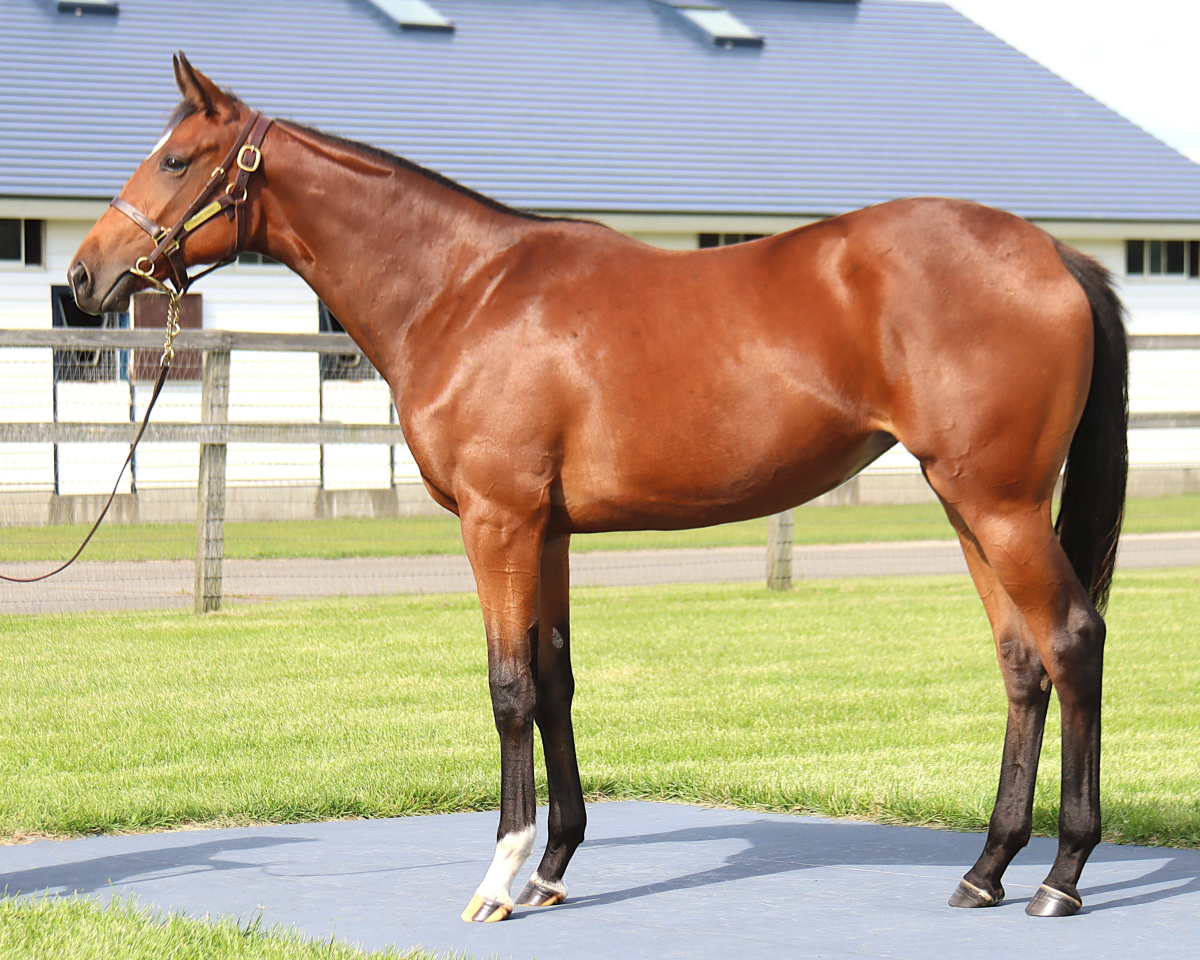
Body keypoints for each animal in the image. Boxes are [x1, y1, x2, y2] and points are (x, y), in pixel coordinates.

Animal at [69, 54, 1127, 923]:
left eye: (176, 160)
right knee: (1022, 662)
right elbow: (556, 683)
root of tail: (1052, 252)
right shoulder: (548, 532)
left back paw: (1061, 878)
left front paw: (500, 876)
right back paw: (986, 870)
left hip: (1000, 504)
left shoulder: (497, 523)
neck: (465, 292)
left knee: (1073, 641)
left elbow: (507, 688)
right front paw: (553, 867)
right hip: (967, 503)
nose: (84, 277)